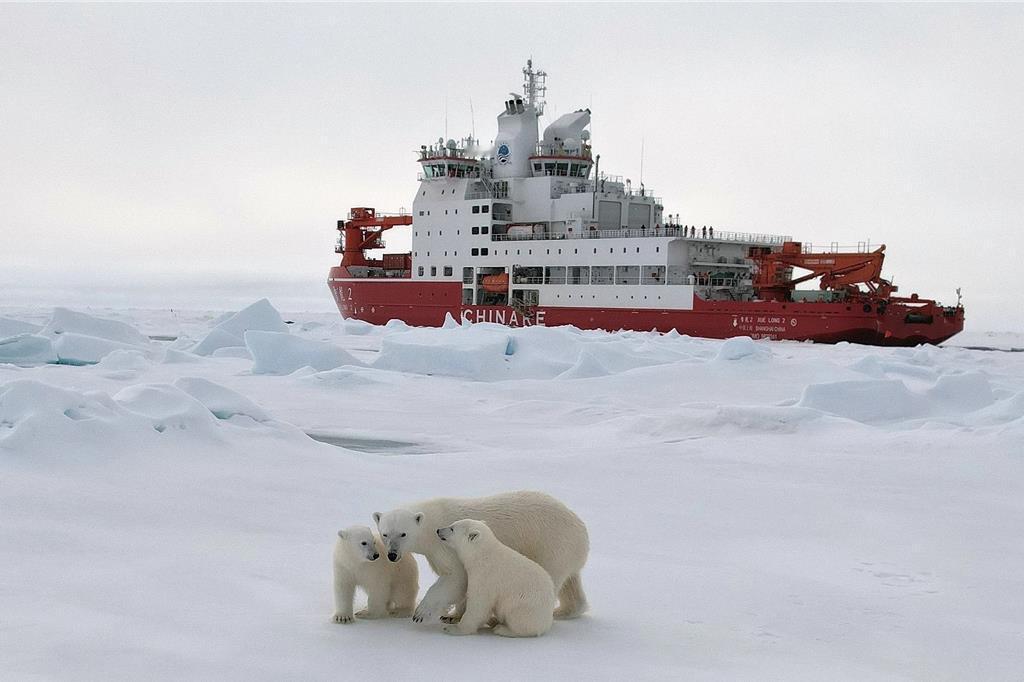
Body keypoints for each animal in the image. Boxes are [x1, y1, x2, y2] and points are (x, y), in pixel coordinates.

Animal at [372, 490, 588, 624]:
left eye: (403, 534)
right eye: (385, 534)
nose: (392, 555)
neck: (429, 524)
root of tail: (582, 530)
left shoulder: (446, 545)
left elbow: (455, 576)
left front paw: (422, 612)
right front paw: (452, 615)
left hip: (551, 545)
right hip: (565, 552)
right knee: (571, 583)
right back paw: (565, 611)